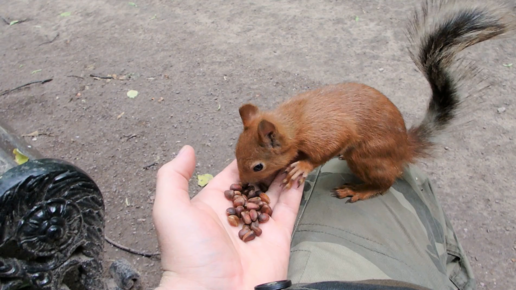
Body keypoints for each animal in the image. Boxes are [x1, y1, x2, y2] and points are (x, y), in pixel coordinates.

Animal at [235, 0, 516, 203]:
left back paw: (359, 190)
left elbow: (328, 148)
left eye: (258, 166)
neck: (295, 121)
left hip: (367, 157)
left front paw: (303, 166)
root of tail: (404, 149)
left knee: (386, 183)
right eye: (236, 152)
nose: (244, 184)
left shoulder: (327, 132)